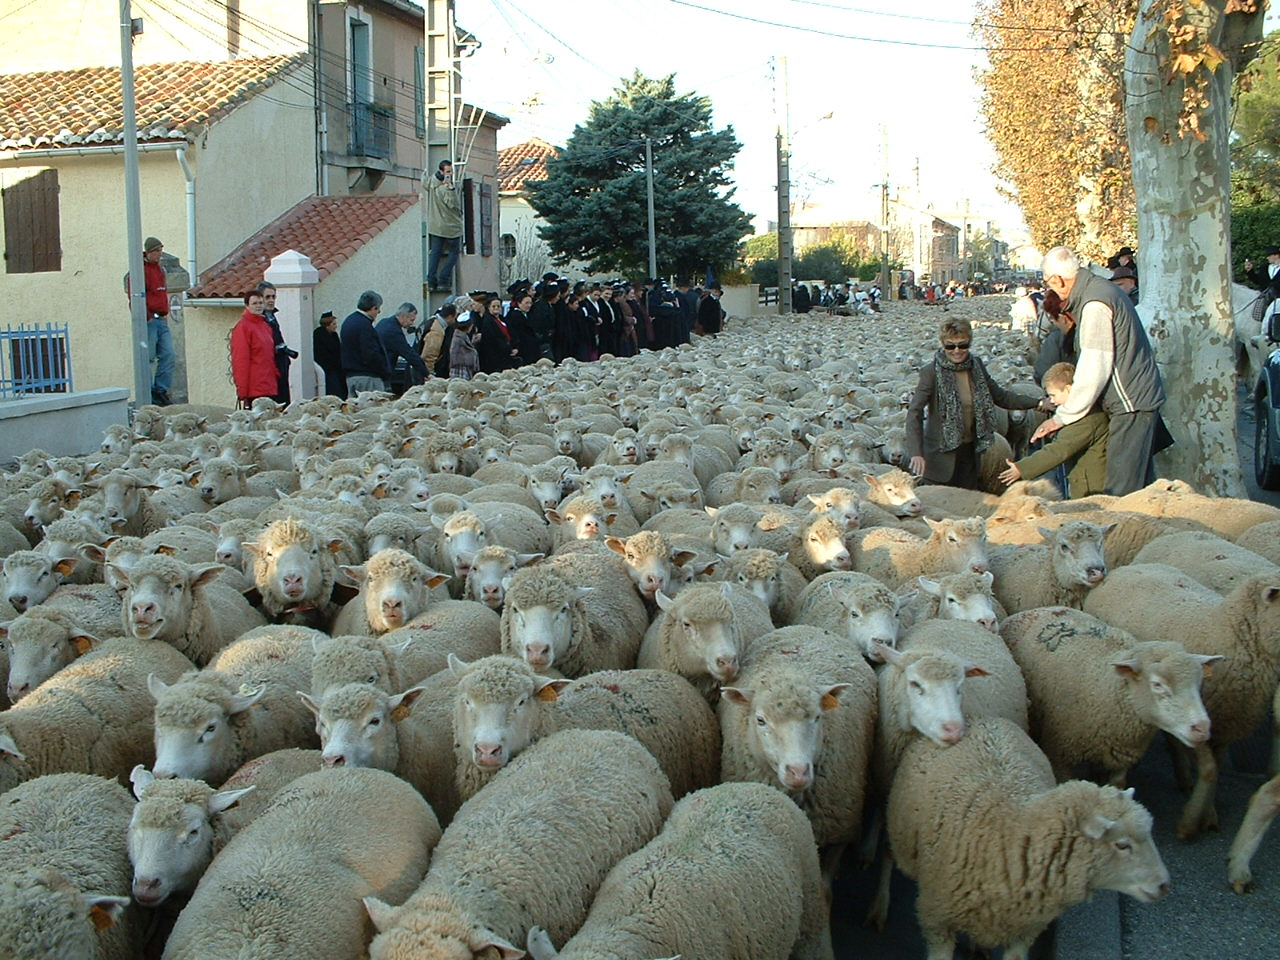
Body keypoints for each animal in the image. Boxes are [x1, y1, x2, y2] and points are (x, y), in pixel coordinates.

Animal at [890, 716, 1172, 960]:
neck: (1008, 833)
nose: (1164, 885)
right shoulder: (936, 921)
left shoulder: (1026, 929)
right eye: (1122, 845)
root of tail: (978, 718)